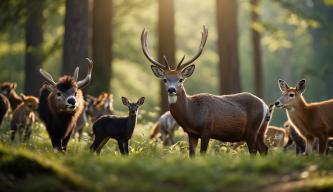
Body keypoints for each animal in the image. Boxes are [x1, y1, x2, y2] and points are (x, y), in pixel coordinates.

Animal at [141, 26, 268, 156]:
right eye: (165, 79)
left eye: (181, 79)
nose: (171, 89)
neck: (192, 112)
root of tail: (265, 105)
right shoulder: (191, 133)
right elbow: (192, 154)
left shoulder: (207, 129)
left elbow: (202, 153)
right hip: (261, 131)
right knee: (264, 149)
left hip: (252, 129)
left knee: (254, 152)